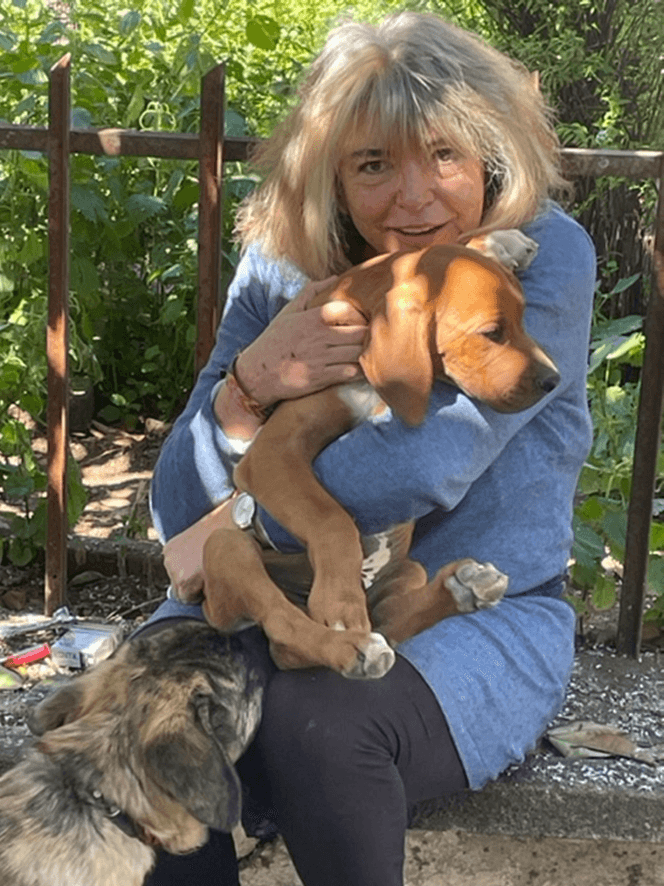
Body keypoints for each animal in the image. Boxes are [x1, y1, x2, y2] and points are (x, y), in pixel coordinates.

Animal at [200, 230, 560, 678]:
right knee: (283, 631)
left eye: (524, 320)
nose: (554, 380)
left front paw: (500, 242)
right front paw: (339, 601)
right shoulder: (272, 452)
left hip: (408, 570)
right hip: (226, 548)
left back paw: (463, 588)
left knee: (391, 619)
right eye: (493, 332)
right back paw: (352, 646)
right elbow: (330, 518)